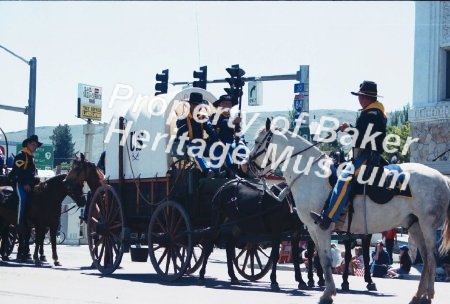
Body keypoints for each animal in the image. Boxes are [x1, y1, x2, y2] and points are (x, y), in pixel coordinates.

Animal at [248, 118, 450, 304]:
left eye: (258, 141)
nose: (248, 163)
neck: (310, 174)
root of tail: (442, 178)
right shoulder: (312, 230)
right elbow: (320, 257)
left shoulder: (321, 228)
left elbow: (325, 259)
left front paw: (327, 293)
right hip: (414, 225)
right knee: (426, 258)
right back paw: (418, 295)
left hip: (427, 225)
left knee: (432, 257)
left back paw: (428, 296)